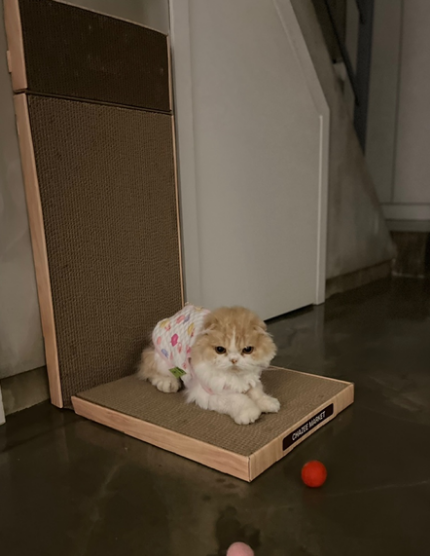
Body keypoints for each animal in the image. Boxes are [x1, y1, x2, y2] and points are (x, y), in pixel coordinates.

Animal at [137, 305, 280, 425]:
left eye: (247, 349)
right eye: (220, 349)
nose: (234, 360)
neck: (234, 377)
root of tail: (172, 317)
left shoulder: (251, 379)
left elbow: (257, 392)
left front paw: (268, 402)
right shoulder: (207, 393)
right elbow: (236, 399)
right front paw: (250, 412)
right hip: (164, 362)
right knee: (148, 370)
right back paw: (167, 383)